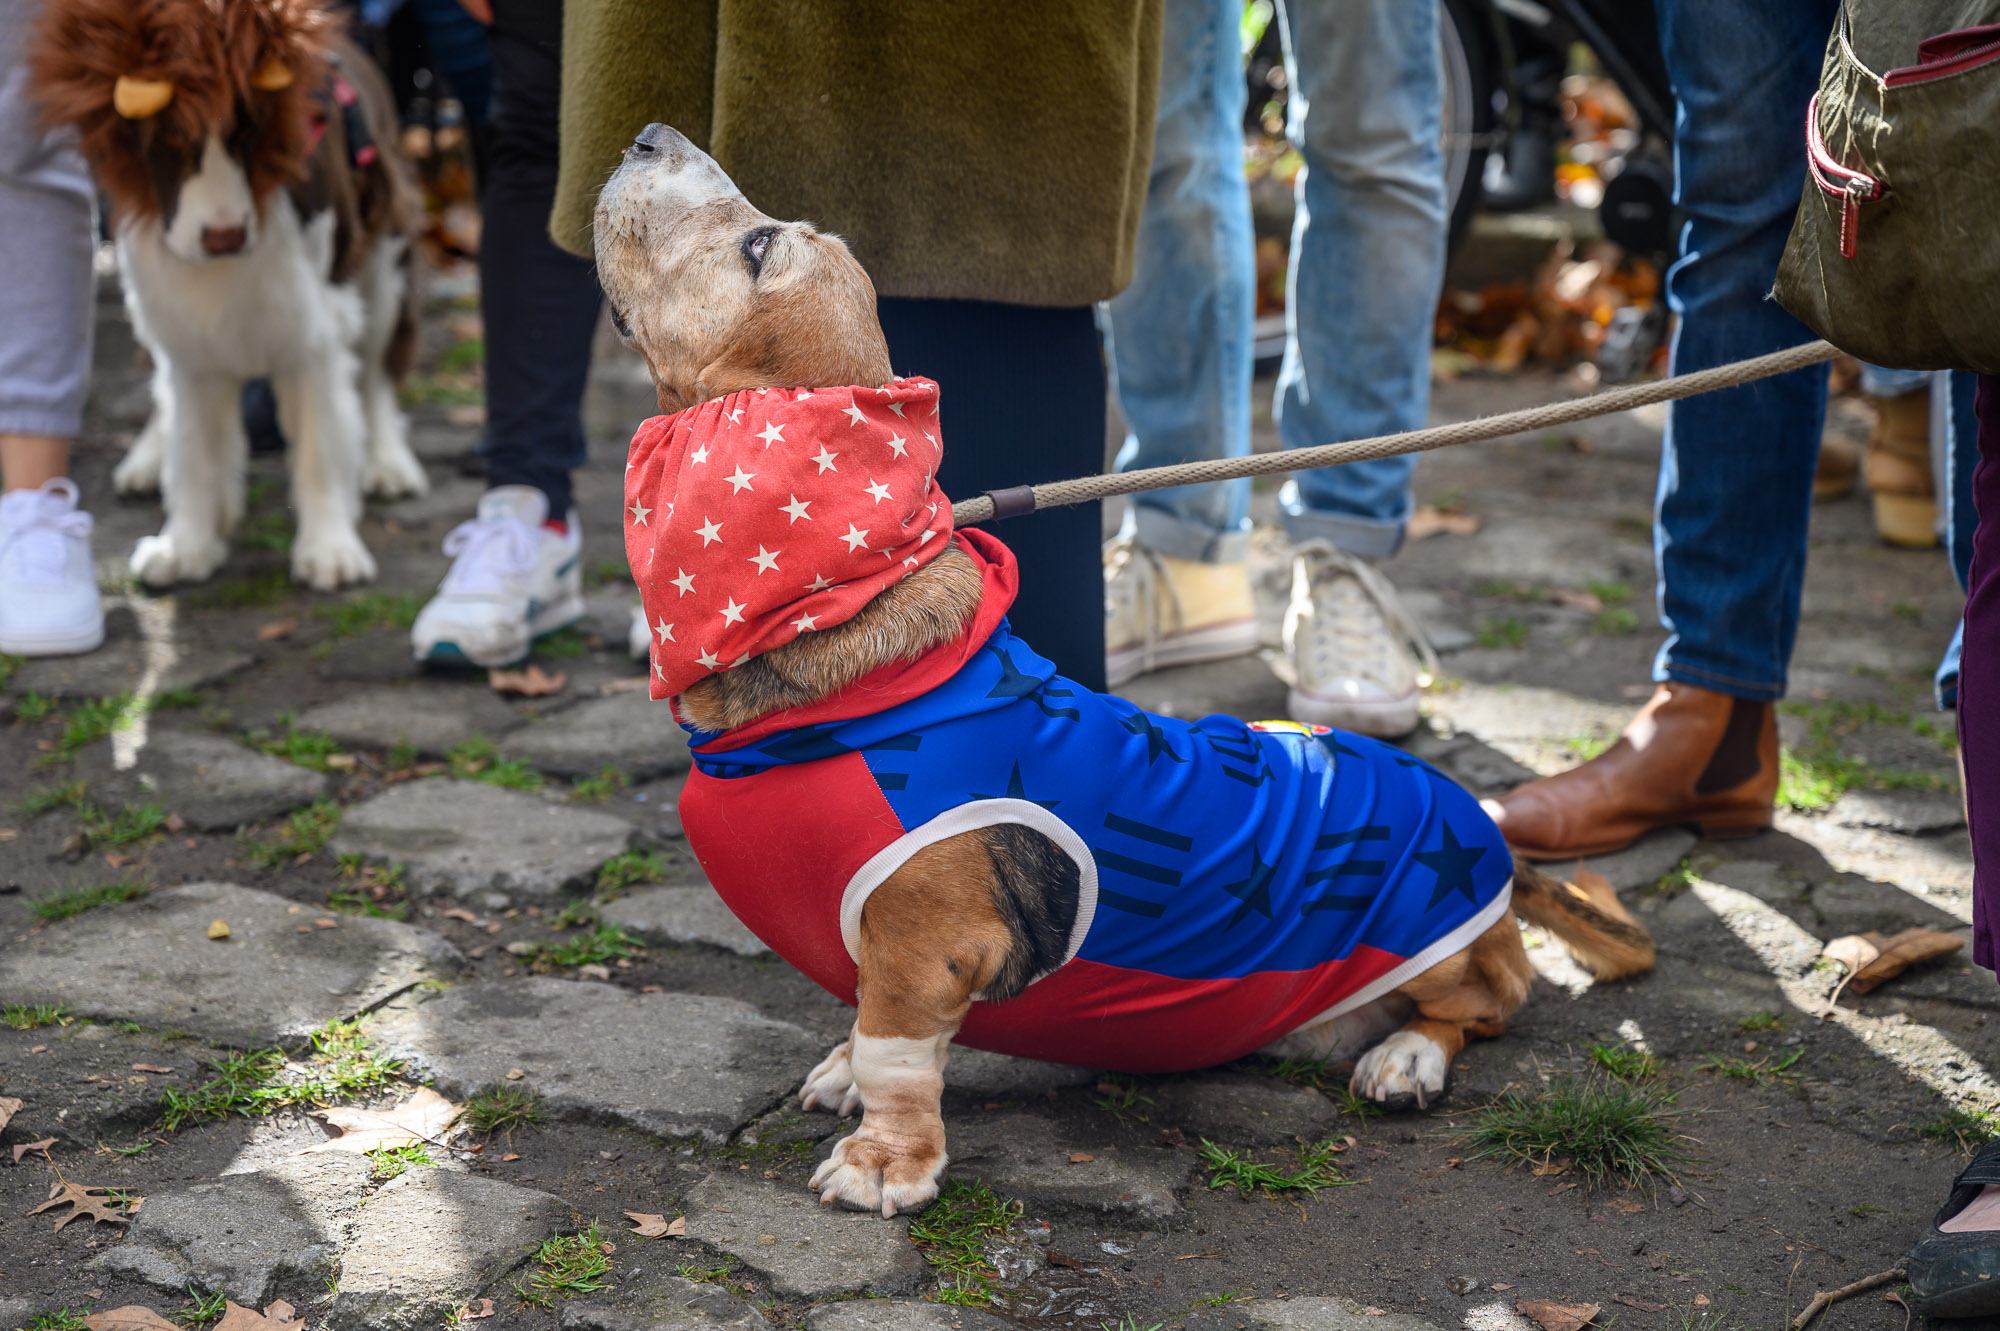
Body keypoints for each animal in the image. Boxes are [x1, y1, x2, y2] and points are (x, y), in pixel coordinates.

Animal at [29, 0, 428, 587]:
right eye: (170, 138)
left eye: (248, 130)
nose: (225, 237)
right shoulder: (182, 320)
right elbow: (193, 446)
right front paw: (186, 545)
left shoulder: (313, 320)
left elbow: (320, 441)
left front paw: (330, 549)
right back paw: (148, 455)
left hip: (384, 259)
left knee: (377, 369)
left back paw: (388, 460)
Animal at [592, 124, 1656, 1215]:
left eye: (760, 245)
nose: (648, 135)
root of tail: (1482, 822)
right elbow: (868, 1031)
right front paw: (849, 1079)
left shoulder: (922, 947)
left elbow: (895, 1051)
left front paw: (884, 1160)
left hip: (1430, 939)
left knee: (1488, 1002)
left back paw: (1405, 1057)